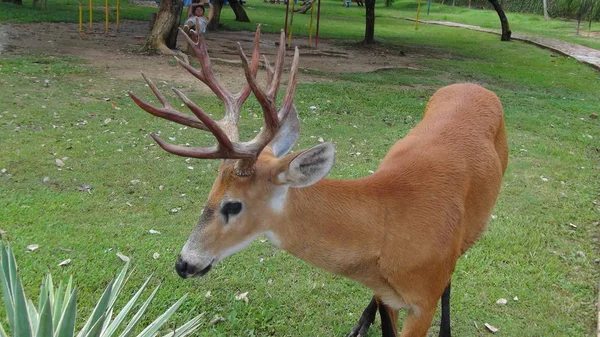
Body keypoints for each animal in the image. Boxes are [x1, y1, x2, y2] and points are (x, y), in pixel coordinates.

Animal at [129, 25, 508, 336]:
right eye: (209, 194)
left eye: (232, 205)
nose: (183, 263)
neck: (389, 226)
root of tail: (476, 86)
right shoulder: (389, 296)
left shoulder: (423, 301)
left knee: (451, 279)